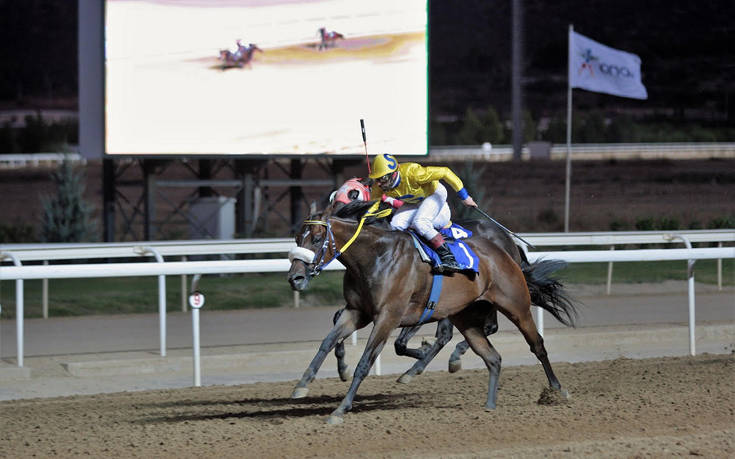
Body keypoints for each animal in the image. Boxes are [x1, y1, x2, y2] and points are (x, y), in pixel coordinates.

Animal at [288, 201, 580, 424]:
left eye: (317, 239)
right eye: (297, 238)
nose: (295, 278)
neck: (375, 256)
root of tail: (504, 249)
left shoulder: (389, 316)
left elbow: (366, 362)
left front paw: (340, 409)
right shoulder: (357, 311)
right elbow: (328, 340)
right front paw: (302, 385)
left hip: (516, 305)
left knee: (536, 344)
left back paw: (557, 391)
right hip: (466, 316)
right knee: (491, 355)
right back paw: (488, 403)